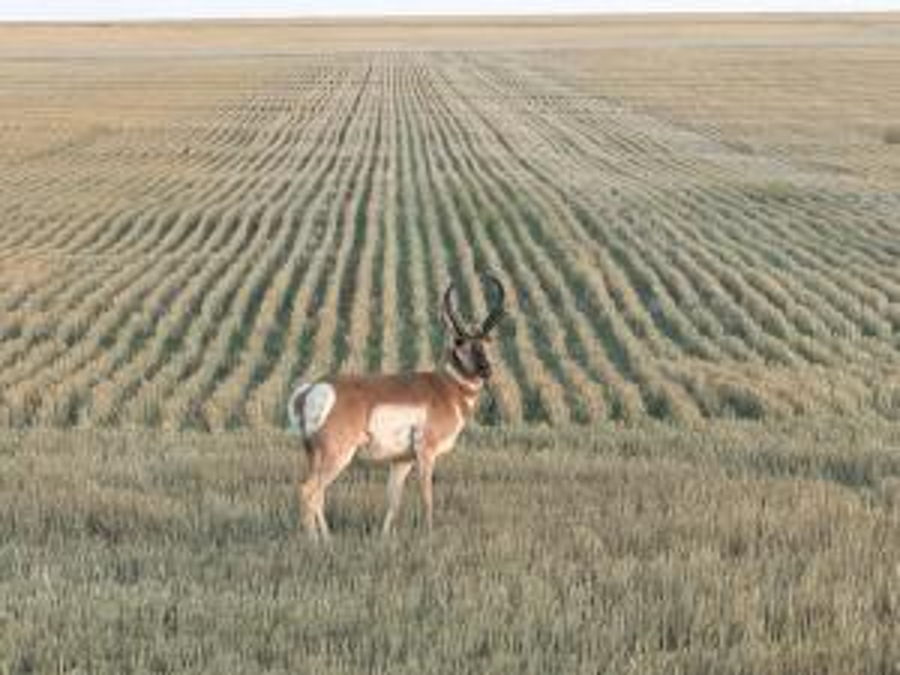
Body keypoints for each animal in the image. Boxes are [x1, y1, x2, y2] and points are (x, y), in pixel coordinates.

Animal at [287, 276, 506, 540]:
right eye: (459, 340)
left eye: (486, 341)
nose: (486, 369)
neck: (445, 387)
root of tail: (313, 388)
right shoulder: (426, 453)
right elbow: (427, 497)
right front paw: (429, 535)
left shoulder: (402, 461)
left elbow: (393, 500)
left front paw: (385, 539)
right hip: (338, 454)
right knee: (308, 491)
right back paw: (314, 542)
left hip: (316, 456)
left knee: (318, 495)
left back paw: (328, 539)